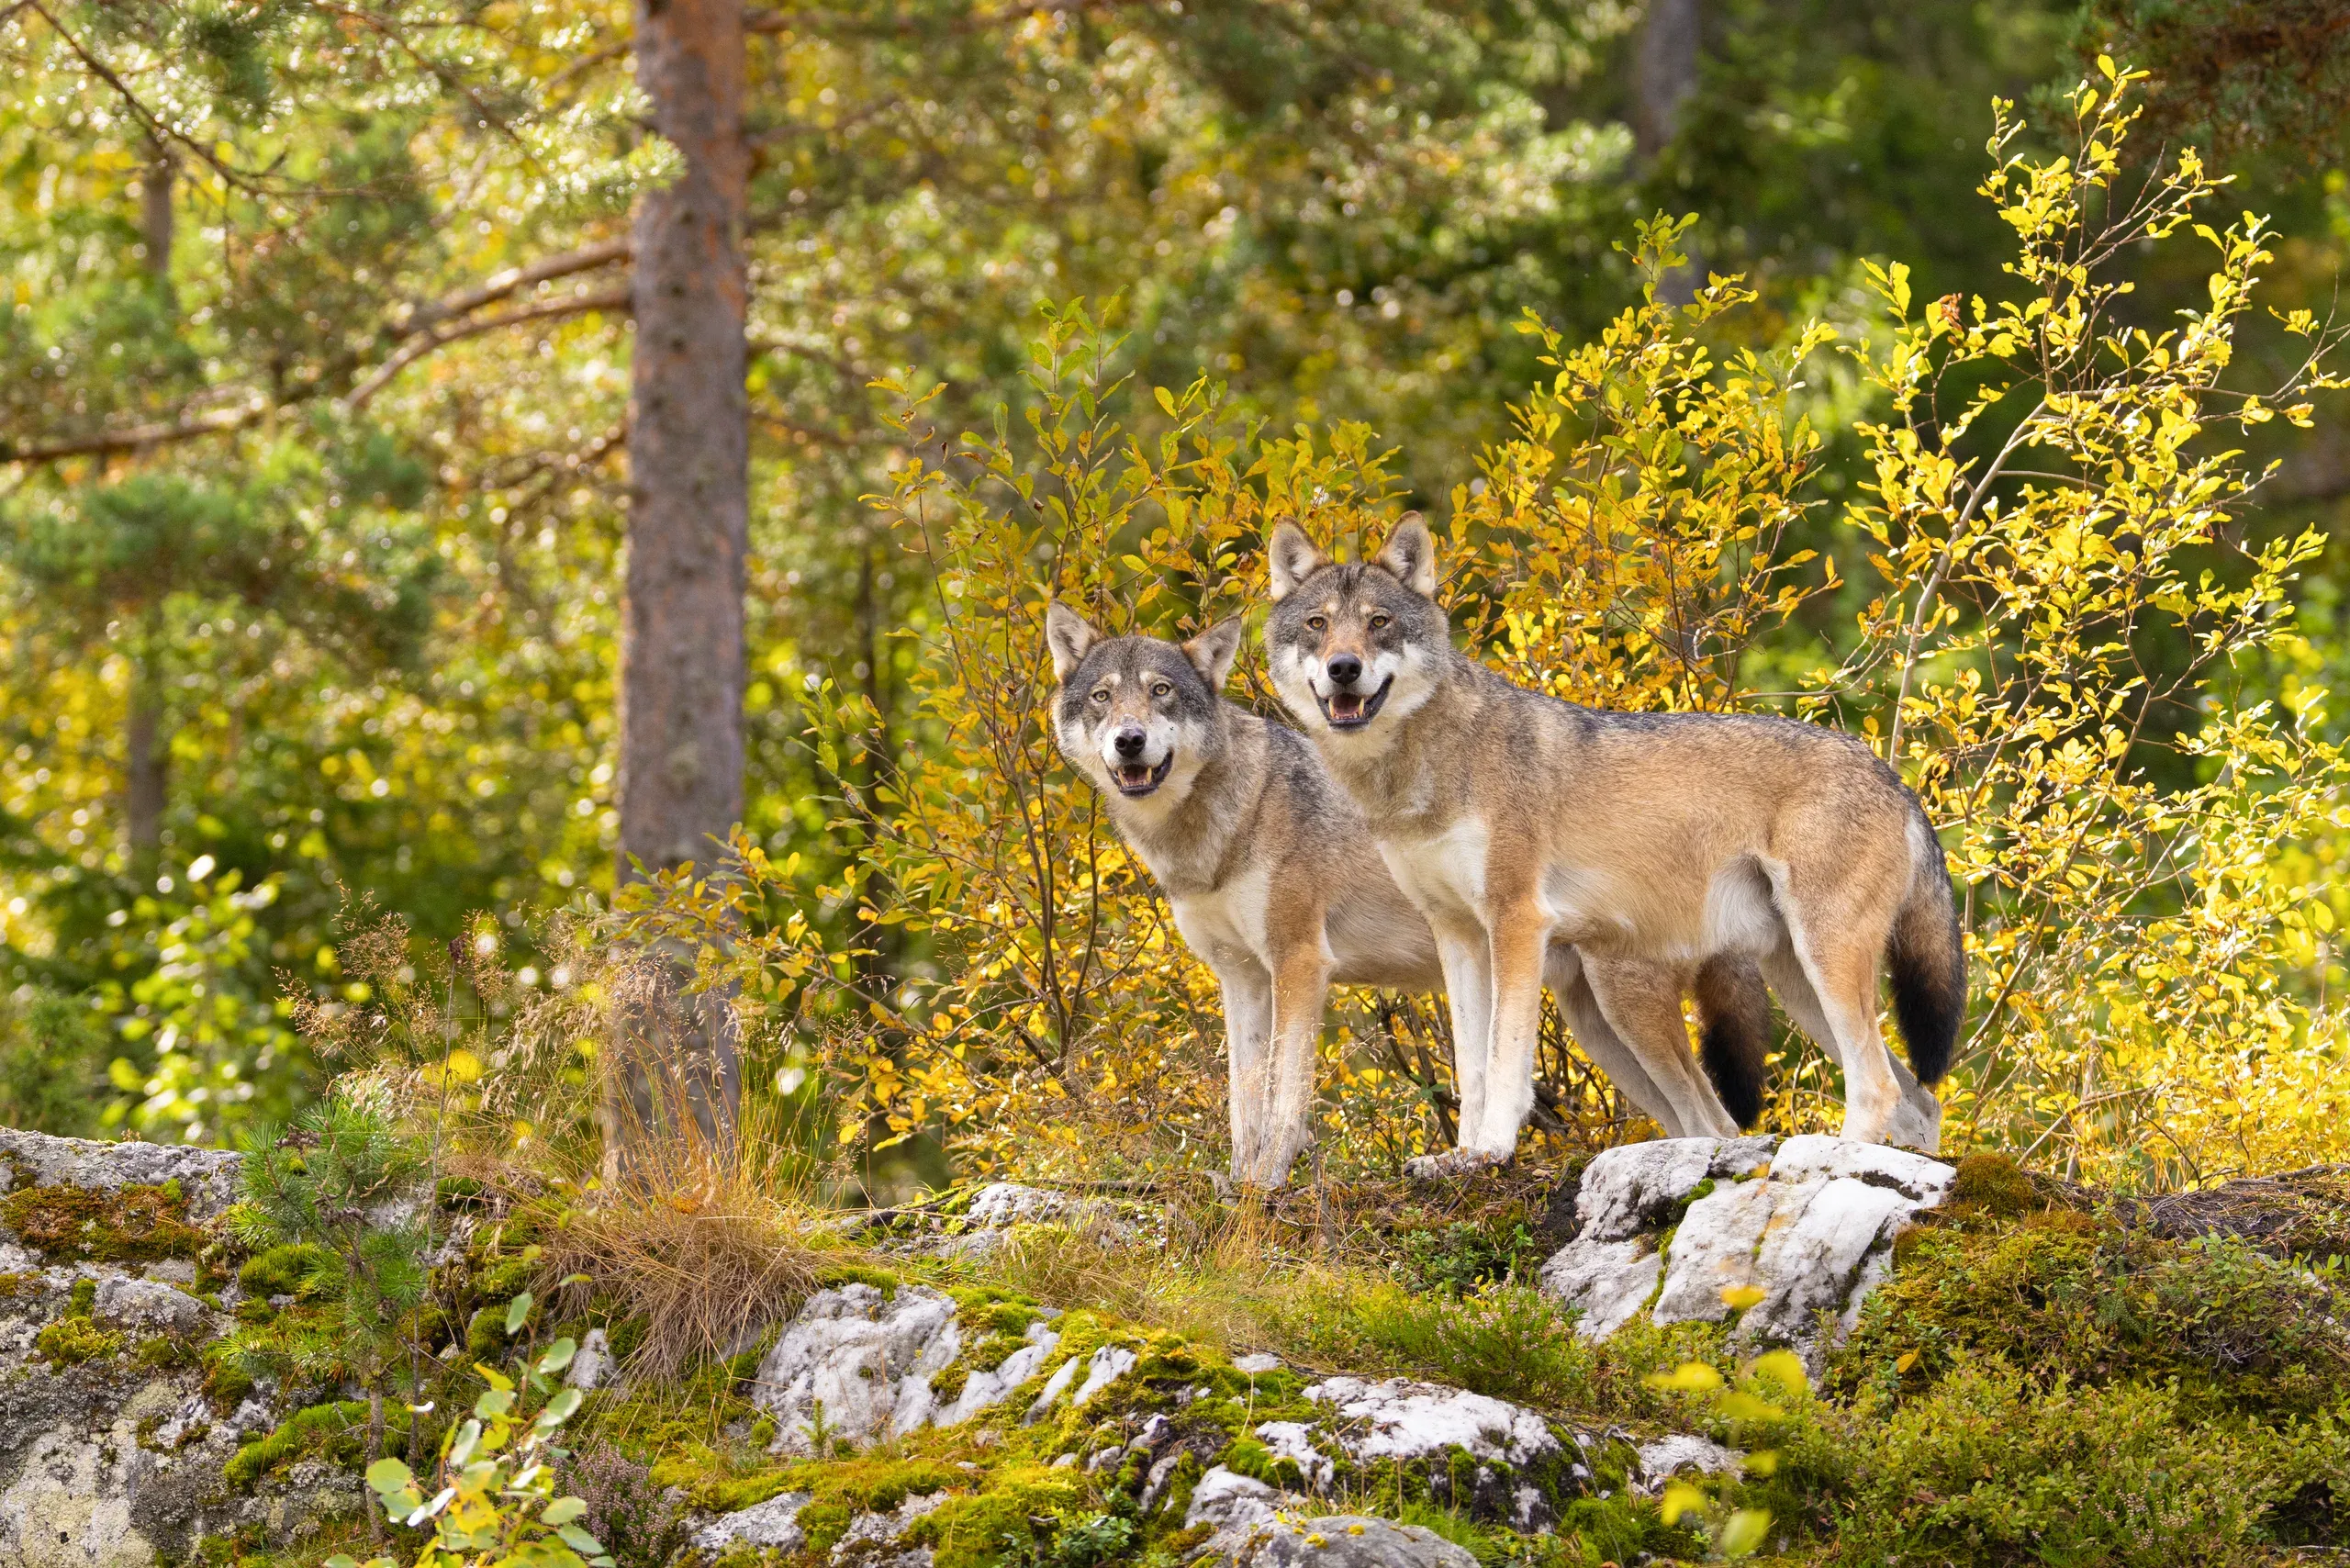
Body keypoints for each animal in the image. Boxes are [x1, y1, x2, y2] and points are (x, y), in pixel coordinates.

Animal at [1044, 602, 1775, 1188]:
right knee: (1697, 1122)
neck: (1221, 826)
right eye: (1103, 698)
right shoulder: (1241, 977)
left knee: (1720, 1123)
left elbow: (1283, 1101)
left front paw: (1268, 1184)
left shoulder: (1300, 964)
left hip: (1626, 1015)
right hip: (1599, 1029)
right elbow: (1241, 1106)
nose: (1129, 741)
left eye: (1161, 691)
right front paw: (1238, 1182)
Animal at [1262, 516, 1960, 1170]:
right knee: (1917, 1099)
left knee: (1877, 1085)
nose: (1343, 669)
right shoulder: (1457, 934)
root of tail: (1892, 775)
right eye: (1318, 625)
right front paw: (1459, 1158)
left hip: (1814, 964)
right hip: (1790, 982)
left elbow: (1505, 1061)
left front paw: (1493, 1150)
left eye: (1379, 622)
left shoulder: (1517, 921)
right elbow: (1472, 1066)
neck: (1420, 774)